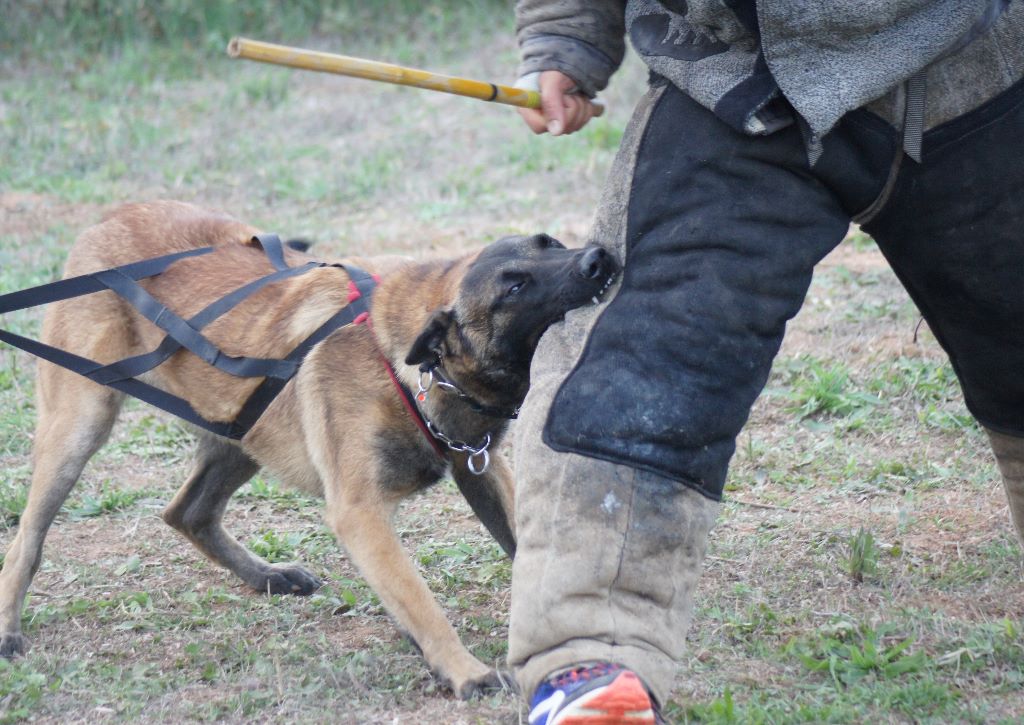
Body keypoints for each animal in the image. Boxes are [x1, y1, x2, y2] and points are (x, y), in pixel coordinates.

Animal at [0, 200, 614, 700]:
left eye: (550, 244)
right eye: (514, 287)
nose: (598, 259)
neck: (401, 363)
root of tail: (108, 219)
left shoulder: (479, 469)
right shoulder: (360, 512)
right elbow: (419, 598)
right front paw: (465, 670)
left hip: (244, 432)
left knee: (186, 512)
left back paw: (265, 575)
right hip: (81, 425)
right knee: (29, 537)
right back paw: (8, 627)